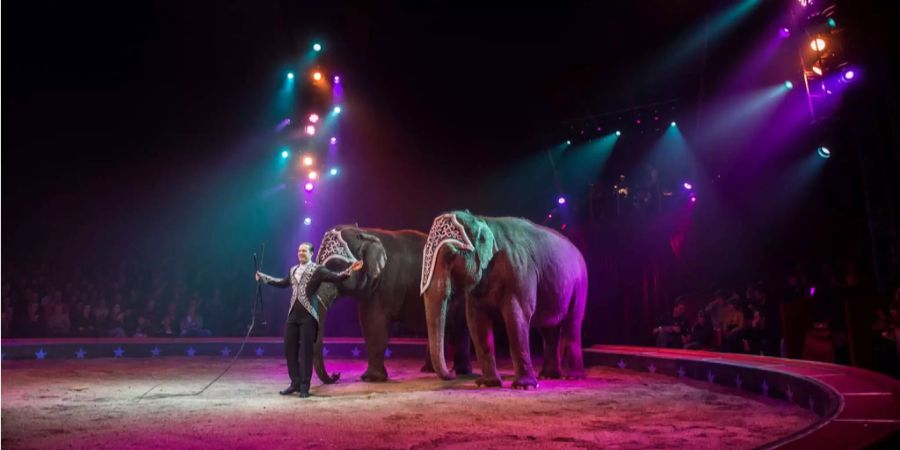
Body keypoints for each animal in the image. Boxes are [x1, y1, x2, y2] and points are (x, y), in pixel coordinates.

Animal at [312, 225, 472, 384]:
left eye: (336, 265)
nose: (336, 375)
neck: (366, 232)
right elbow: (366, 321)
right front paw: (371, 378)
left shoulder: (387, 283)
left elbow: (375, 322)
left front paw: (371, 379)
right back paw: (430, 370)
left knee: (460, 328)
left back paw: (461, 372)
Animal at [422, 213, 592, 388]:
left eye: (450, 255)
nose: (452, 374)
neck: (483, 220)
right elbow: (476, 322)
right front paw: (487, 384)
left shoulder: (519, 272)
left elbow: (517, 317)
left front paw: (524, 386)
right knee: (548, 329)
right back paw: (548, 376)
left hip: (580, 285)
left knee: (572, 324)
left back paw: (572, 377)